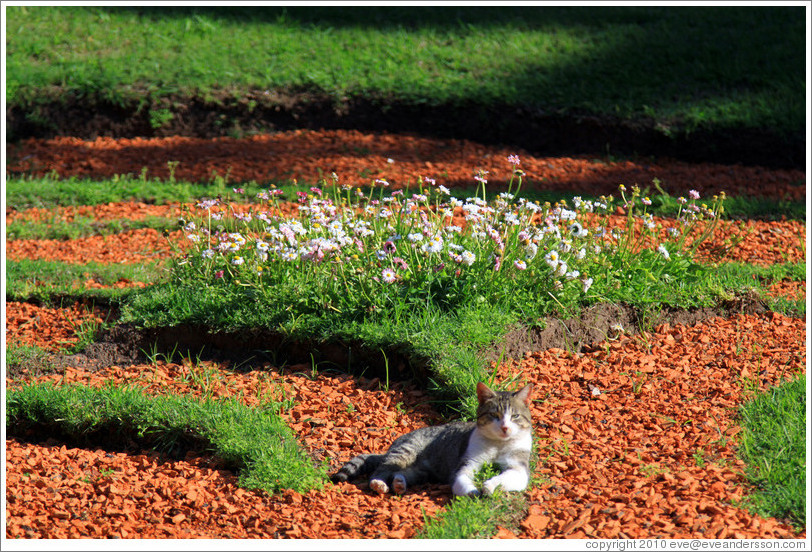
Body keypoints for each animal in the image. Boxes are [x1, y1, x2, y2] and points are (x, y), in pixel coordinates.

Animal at [330, 382, 532, 498]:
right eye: (494, 415)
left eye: (515, 416)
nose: (505, 427)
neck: (498, 444)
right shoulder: (467, 464)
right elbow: (462, 480)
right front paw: (472, 492)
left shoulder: (519, 469)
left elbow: (504, 478)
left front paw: (489, 486)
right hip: (406, 452)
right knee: (381, 469)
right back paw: (379, 484)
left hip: (421, 472)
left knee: (402, 473)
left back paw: (399, 484)